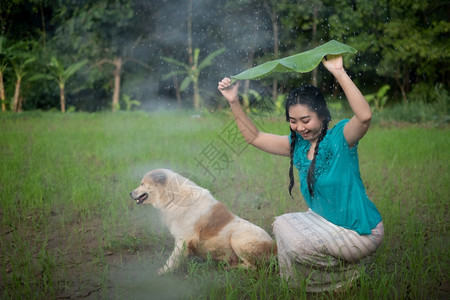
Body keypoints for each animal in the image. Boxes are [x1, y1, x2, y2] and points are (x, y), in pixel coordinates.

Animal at [130, 169, 276, 274]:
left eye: (142, 183)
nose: (130, 193)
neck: (174, 196)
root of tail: (274, 246)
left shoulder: (182, 240)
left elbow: (172, 259)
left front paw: (163, 272)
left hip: (237, 237)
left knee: (253, 266)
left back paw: (232, 267)